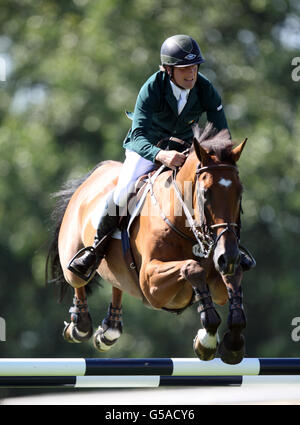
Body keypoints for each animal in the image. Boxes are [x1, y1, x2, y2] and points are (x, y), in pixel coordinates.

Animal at [46, 123, 248, 364]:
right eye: (205, 194)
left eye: (240, 192)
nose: (228, 256)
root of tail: (95, 174)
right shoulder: (151, 284)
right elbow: (192, 267)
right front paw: (206, 340)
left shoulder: (219, 280)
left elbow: (233, 282)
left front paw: (232, 343)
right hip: (73, 261)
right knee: (78, 280)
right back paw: (81, 324)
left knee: (117, 282)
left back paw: (109, 329)